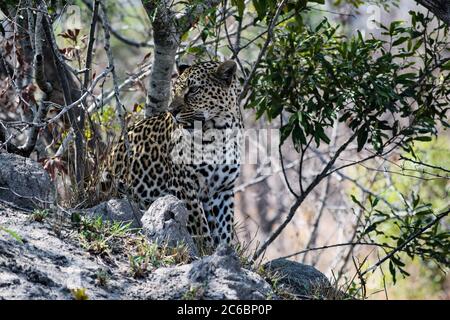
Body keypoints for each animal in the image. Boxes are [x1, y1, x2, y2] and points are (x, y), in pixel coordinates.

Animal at [107, 60, 243, 250]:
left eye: (193, 90)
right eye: (175, 90)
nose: (172, 110)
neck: (220, 131)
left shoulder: (223, 190)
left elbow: (224, 229)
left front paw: (224, 250)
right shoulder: (184, 184)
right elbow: (200, 225)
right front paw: (205, 251)